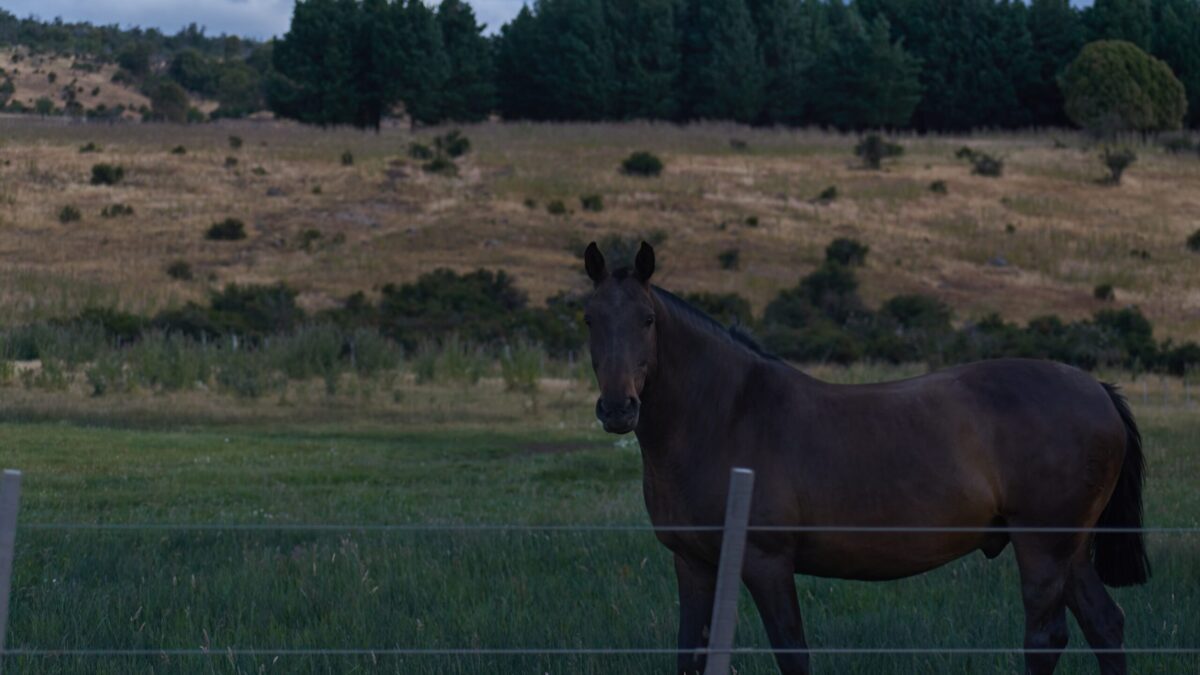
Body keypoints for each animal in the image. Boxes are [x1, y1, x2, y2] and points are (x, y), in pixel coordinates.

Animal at [581, 241, 1148, 675]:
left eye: (647, 320)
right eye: (589, 319)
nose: (618, 408)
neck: (728, 413)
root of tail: (1098, 390)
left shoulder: (766, 561)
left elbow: (793, 653)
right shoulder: (693, 563)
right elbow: (689, 655)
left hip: (1043, 548)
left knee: (1046, 639)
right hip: (1069, 551)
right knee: (1106, 624)